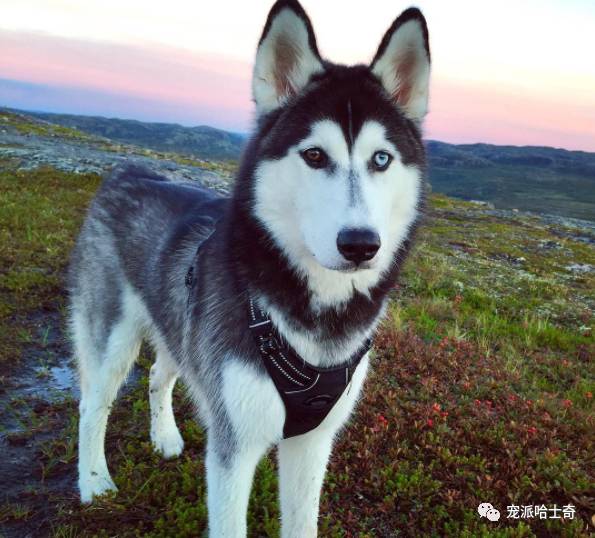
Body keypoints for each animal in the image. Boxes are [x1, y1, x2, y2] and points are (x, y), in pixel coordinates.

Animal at [70, 2, 430, 532]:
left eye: (381, 158)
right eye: (314, 154)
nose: (361, 244)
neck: (312, 313)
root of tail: (126, 170)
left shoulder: (312, 442)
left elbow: (302, 523)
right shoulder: (233, 446)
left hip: (180, 329)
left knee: (159, 374)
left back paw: (164, 437)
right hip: (112, 336)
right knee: (93, 402)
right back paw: (93, 480)